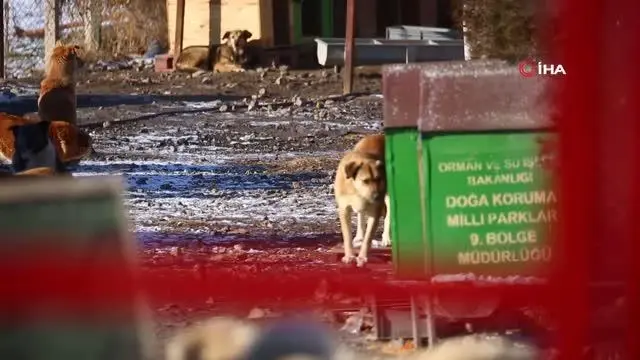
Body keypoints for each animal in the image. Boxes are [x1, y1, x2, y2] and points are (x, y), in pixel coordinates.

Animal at [332, 134, 392, 266]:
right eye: (365, 181)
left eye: (379, 179)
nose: (376, 196)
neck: (356, 191)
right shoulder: (344, 209)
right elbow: (347, 236)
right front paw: (349, 256)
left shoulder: (375, 210)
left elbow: (368, 238)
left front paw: (362, 257)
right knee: (360, 216)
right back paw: (359, 236)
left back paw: (386, 238)